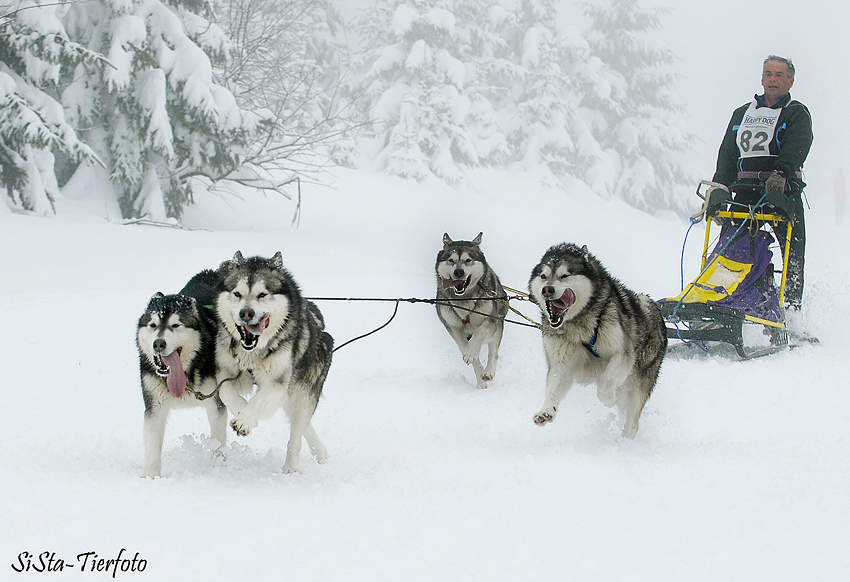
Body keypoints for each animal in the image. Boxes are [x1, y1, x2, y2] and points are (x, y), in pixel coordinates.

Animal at [212, 251, 332, 474]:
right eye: (237, 294)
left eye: (262, 294)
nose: (246, 313)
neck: (252, 352)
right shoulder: (225, 371)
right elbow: (226, 392)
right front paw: (241, 409)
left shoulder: (277, 382)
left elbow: (258, 401)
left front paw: (245, 419)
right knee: (303, 424)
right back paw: (321, 452)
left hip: (303, 392)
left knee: (297, 432)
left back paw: (291, 468)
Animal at [434, 232, 506, 388]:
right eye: (451, 260)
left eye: (468, 260)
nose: (458, 272)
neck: (464, 299)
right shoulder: (453, 327)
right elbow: (465, 349)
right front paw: (479, 380)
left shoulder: (491, 320)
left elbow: (480, 333)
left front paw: (472, 353)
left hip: (498, 323)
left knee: (493, 351)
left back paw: (488, 372)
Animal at [528, 242, 664, 438]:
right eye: (543, 276)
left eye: (565, 275)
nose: (547, 290)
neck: (579, 326)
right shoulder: (561, 363)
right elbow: (553, 388)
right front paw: (546, 411)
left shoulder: (622, 353)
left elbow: (605, 380)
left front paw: (608, 398)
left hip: (638, 384)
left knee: (632, 421)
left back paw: (625, 439)